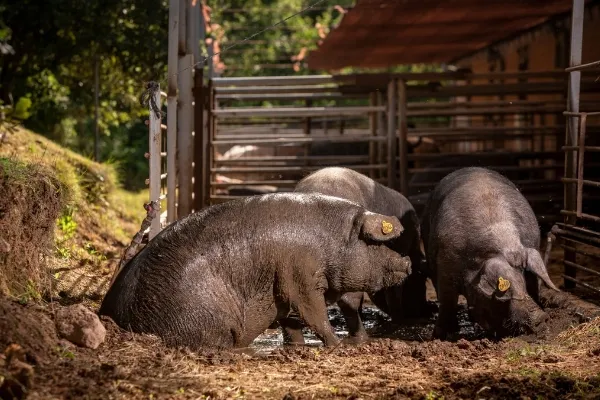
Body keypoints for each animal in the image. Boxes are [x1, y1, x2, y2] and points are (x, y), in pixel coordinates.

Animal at [101, 192, 414, 348]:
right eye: (373, 242)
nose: (408, 261)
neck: (331, 241)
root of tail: (112, 312)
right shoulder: (301, 277)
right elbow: (313, 314)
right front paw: (336, 346)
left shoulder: (283, 285)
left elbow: (291, 320)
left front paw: (297, 348)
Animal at [420, 167, 560, 340]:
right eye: (508, 292)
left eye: (524, 281)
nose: (541, 317)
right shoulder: (445, 267)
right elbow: (447, 302)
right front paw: (439, 337)